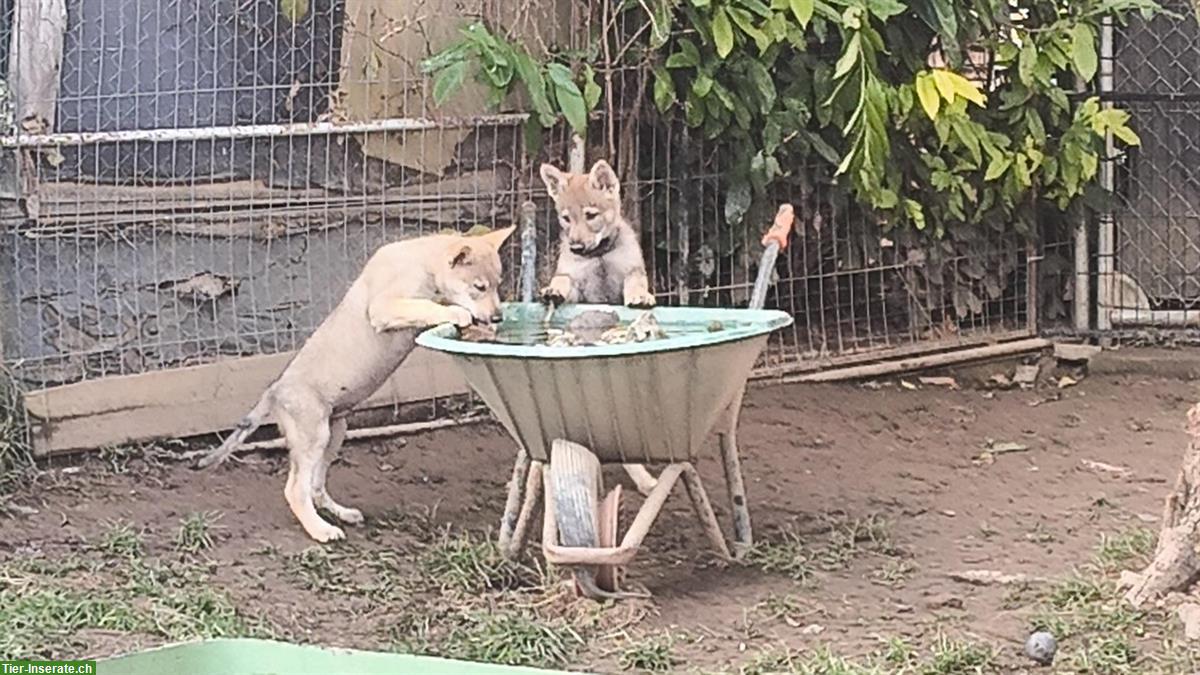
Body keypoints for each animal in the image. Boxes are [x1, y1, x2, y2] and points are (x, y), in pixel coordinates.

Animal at [196, 225, 516, 540]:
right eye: (479, 287)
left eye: (497, 284)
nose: (498, 317)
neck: (424, 262)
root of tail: (274, 391)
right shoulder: (384, 306)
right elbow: (428, 306)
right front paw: (458, 313)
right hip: (314, 435)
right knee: (296, 490)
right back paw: (321, 530)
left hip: (335, 432)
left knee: (315, 487)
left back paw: (342, 514)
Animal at [540, 157, 662, 494]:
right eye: (566, 218)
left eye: (591, 215)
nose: (576, 246)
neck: (599, 258)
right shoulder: (574, 283)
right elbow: (562, 283)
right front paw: (552, 290)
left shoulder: (631, 271)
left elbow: (635, 284)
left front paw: (640, 296)